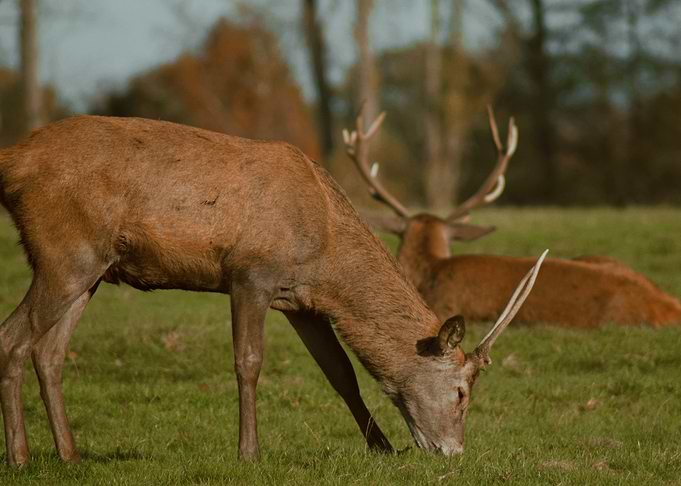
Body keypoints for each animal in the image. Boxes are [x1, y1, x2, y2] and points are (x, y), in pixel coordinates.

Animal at [0, 115, 548, 466]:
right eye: (461, 392)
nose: (453, 453)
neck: (325, 249)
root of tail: (13, 160)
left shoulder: (300, 301)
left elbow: (341, 374)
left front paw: (382, 448)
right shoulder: (250, 274)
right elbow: (248, 362)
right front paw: (249, 454)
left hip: (92, 268)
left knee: (49, 350)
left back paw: (70, 456)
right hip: (64, 253)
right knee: (12, 337)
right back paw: (22, 459)